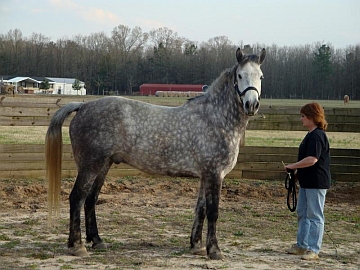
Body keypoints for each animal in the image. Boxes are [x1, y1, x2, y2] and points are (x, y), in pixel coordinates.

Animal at [45, 47, 264, 260]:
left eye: (260, 76)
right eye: (240, 75)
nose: (251, 105)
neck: (215, 118)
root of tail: (83, 106)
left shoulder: (206, 175)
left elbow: (200, 209)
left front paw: (197, 245)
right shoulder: (214, 174)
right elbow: (213, 212)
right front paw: (214, 250)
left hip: (103, 165)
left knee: (90, 200)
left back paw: (97, 241)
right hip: (90, 166)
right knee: (77, 198)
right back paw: (77, 246)